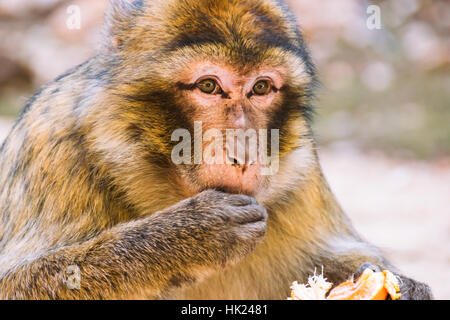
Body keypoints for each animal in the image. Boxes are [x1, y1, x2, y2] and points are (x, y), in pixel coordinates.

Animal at [0, 0, 432, 300]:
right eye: (208, 85)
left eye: (261, 87)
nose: (245, 152)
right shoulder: (52, 142)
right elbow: (14, 282)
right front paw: (187, 236)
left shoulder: (301, 165)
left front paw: (404, 287)